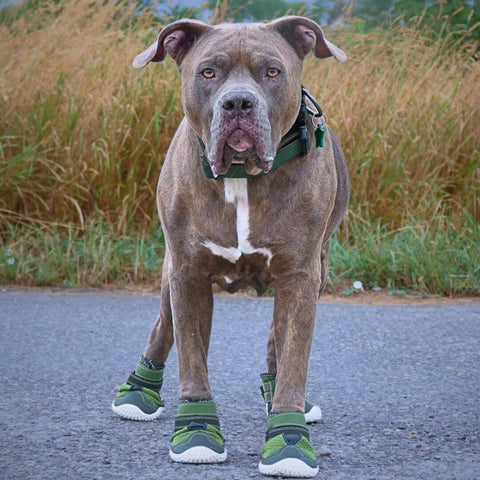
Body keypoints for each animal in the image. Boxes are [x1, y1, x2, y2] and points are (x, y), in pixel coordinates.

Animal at [112, 15, 348, 480]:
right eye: (208, 72)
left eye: (272, 72)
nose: (238, 103)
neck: (241, 175)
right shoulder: (187, 271)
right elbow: (191, 354)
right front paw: (197, 430)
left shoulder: (300, 273)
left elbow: (294, 354)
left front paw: (288, 437)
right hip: (171, 269)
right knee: (164, 325)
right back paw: (139, 389)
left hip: (317, 271)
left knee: (278, 336)